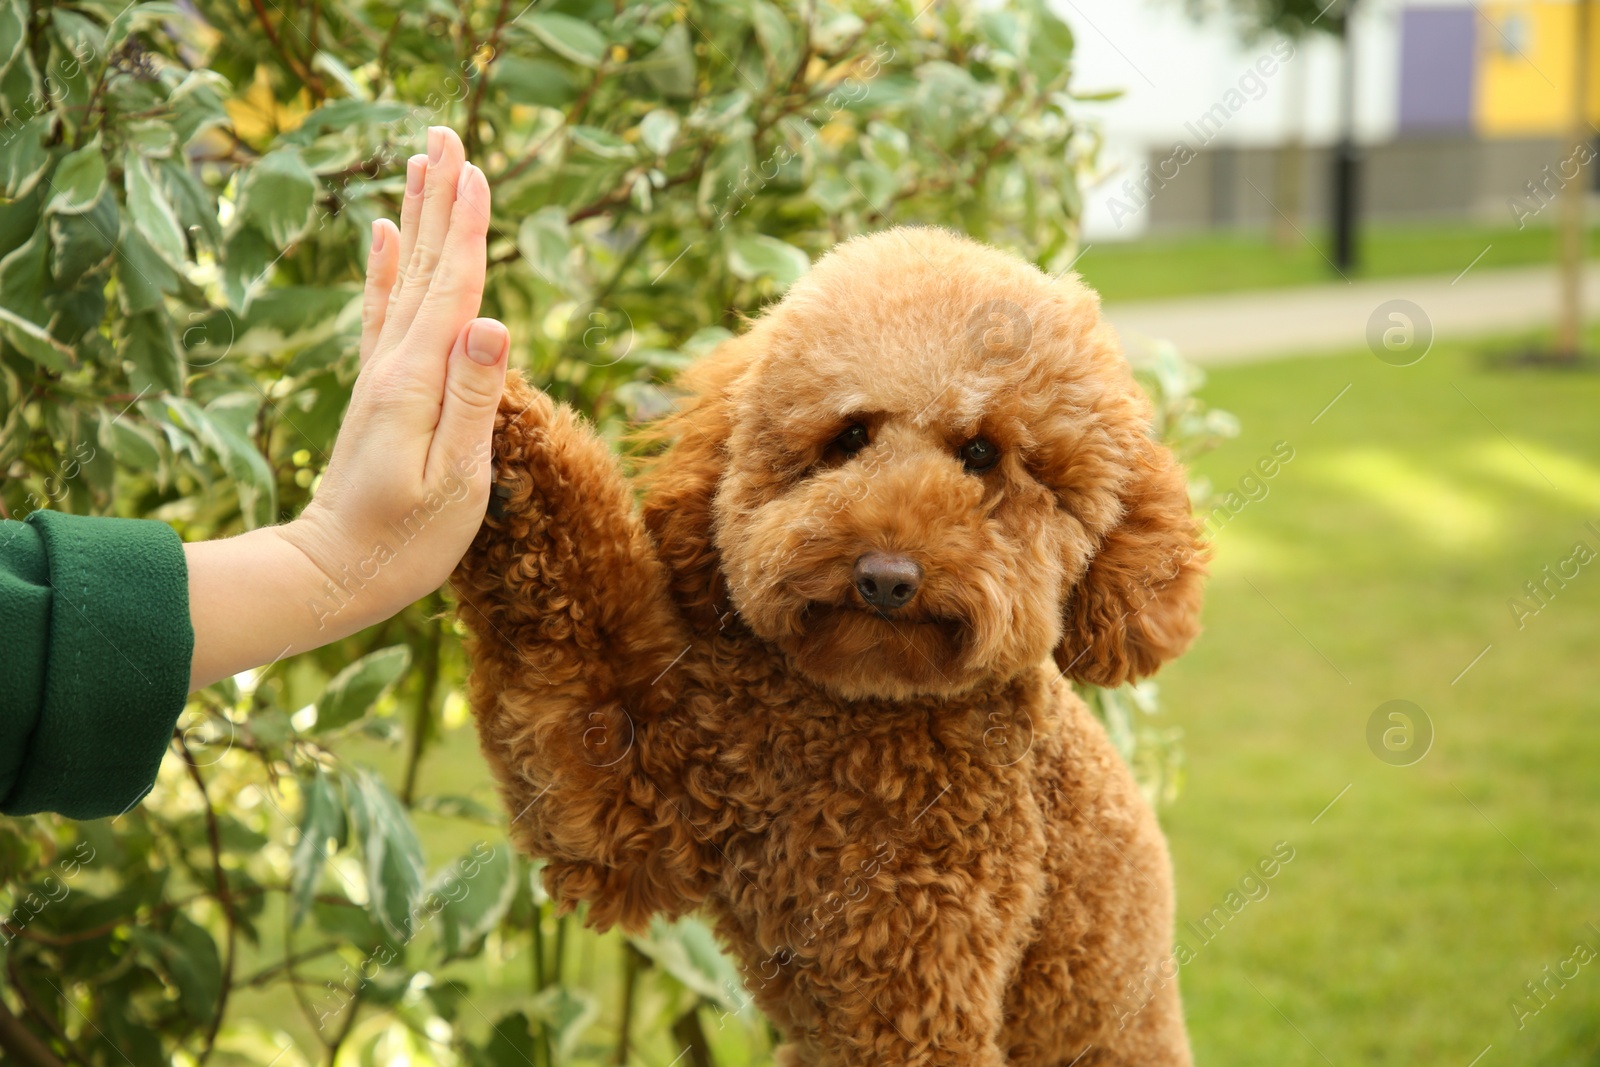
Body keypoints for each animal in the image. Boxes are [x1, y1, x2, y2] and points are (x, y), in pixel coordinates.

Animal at [451, 230, 1203, 1062]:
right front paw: (500, 434)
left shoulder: (915, 989)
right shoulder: (639, 796)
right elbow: (570, 633)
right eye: (849, 436)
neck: (858, 719)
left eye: (981, 453)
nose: (885, 578)